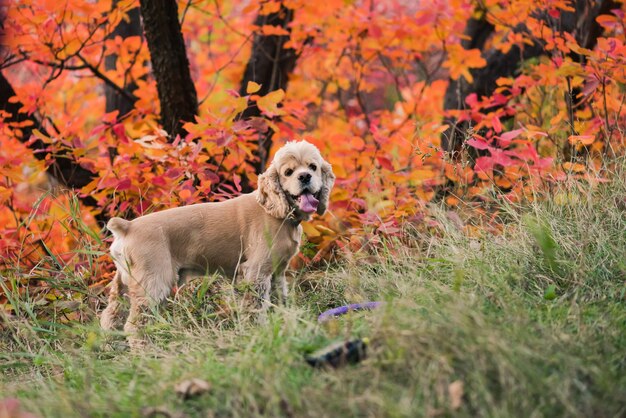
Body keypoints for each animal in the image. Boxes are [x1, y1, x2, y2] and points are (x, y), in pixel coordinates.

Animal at [100, 140, 334, 346]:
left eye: (313, 167)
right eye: (288, 172)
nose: (305, 176)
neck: (278, 212)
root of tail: (128, 226)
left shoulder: (276, 272)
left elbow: (278, 299)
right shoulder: (255, 271)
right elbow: (256, 306)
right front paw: (260, 330)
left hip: (124, 283)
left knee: (111, 315)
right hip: (153, 282)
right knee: (134, 324)